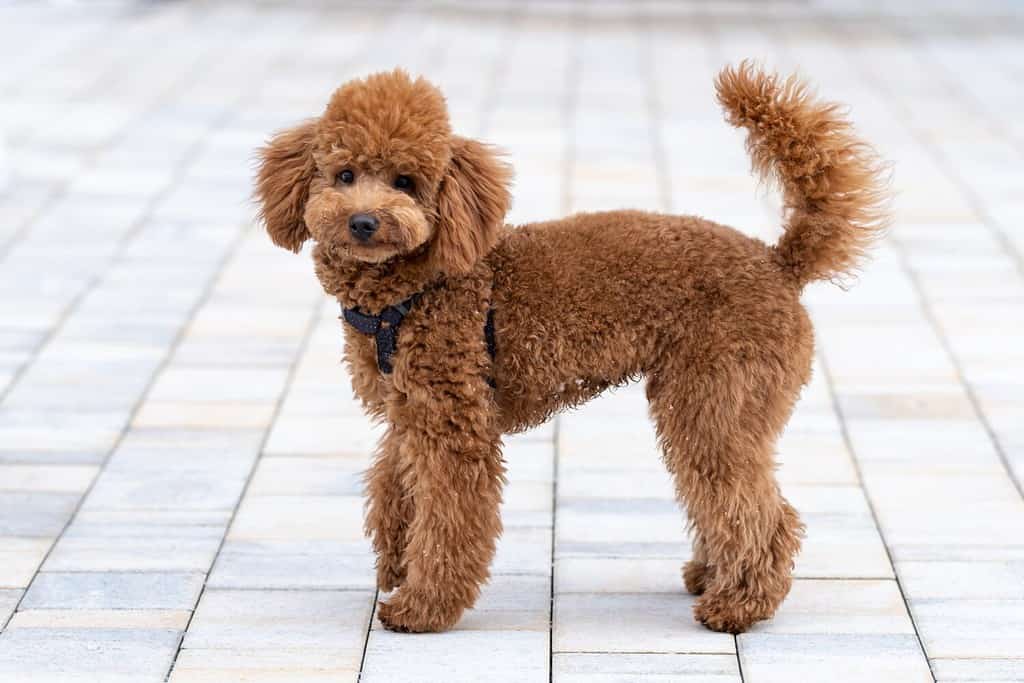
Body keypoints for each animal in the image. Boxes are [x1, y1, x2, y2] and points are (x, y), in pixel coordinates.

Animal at [251, 61, 884, 634]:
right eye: (344, 174)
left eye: (406, 182)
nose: (363, 222)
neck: (413, 289)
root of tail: (780, 262)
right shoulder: (409, 414)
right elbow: (394, 492)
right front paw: (396, 567)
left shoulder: (456, 425)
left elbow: (449, 519)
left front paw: (421, 608)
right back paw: (713, 576)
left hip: (716, 399)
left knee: (760, 512)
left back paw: (738, 605)